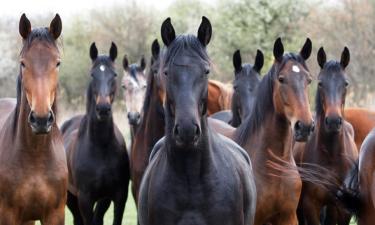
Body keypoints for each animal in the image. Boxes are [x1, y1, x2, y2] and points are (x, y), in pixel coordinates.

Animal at [62, 42, 131, 225]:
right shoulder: (85, 198)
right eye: (92, 75)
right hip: (70, 196)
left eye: (114, 74)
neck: (101, 146)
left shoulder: (118, 196)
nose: (103, 109)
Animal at [296, 46, 360, 224]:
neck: (331, 155)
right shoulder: (310, 205)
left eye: (345, 83)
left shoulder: (341, 208)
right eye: (320, 83)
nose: (332, 121)